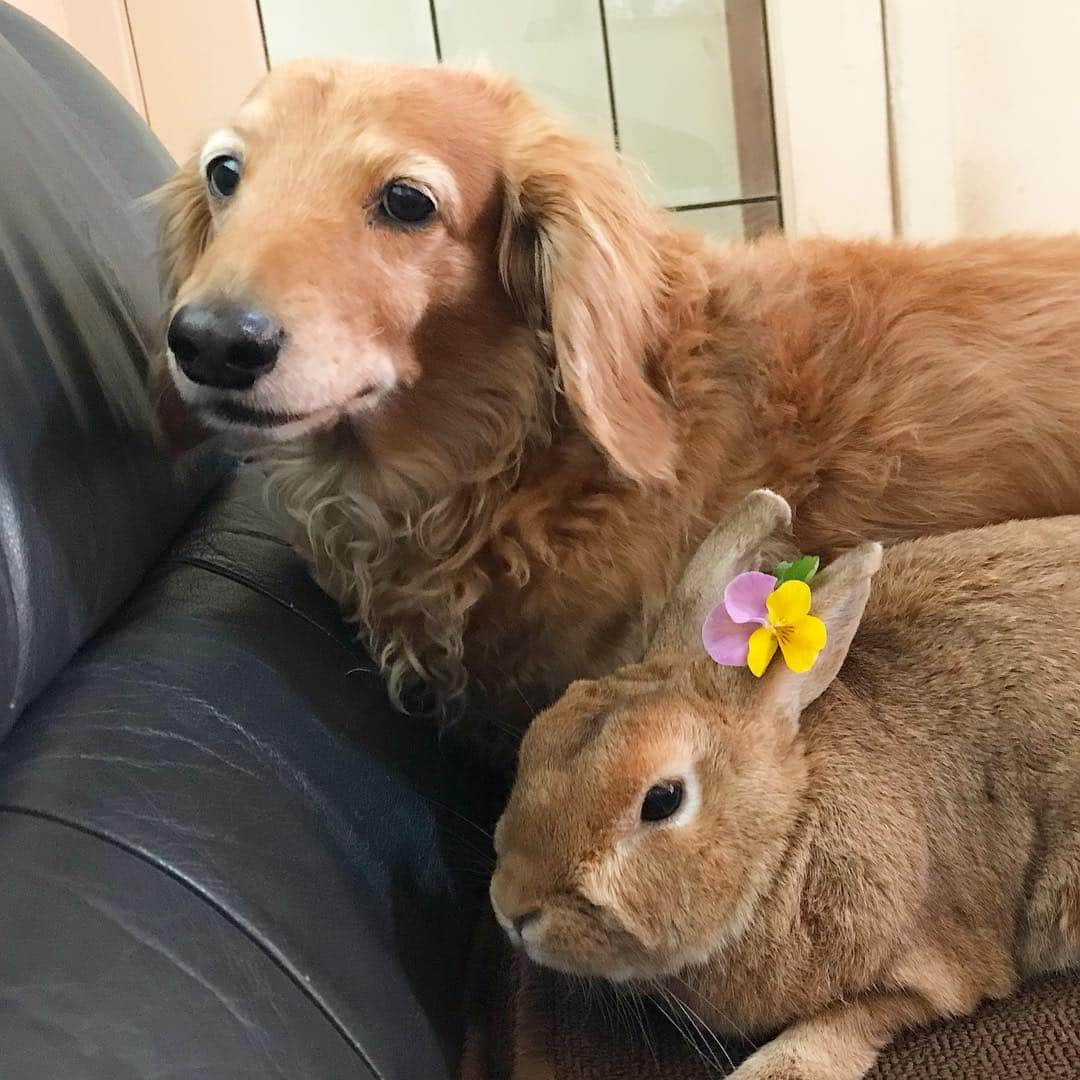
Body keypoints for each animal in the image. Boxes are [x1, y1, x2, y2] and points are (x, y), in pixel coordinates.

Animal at [492, 492, 1080, 1080]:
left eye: (662, 800)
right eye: (537, 739)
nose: (511, 907)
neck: (787, 839)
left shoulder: (937, 964)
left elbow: (849, 1020)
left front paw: (775, 1067)